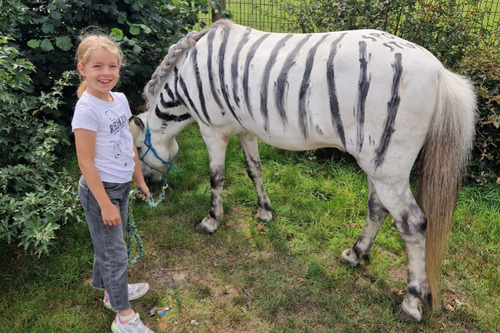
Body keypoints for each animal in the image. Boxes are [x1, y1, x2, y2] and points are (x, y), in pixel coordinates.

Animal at [130, 19, 476, 320]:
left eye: (136, 151)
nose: (147, 191)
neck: (186, 77)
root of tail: (439, 70)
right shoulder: (245, 129)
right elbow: (254, 169)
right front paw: (265, 211)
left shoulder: (211, 129)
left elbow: (216, 177)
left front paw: (211, 221)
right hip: (377, 165)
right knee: (377, 209)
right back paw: (355, 254)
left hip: (387, 168)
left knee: (413, 224)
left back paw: (410, 304)